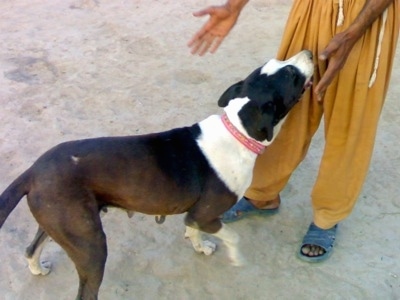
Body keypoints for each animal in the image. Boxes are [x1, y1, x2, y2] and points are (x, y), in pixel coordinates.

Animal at [0, 50, 312, 298]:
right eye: (290, 74)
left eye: (278, 63)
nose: (310, 52)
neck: (238, 130)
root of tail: (32, 171)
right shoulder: (207, 214)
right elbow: (232, 237)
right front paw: (235, 259)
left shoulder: (196, 214)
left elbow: (192, 229)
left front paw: (200, 246)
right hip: (91, 245)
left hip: (59, 222)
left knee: (31, 248)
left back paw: (37, 268)